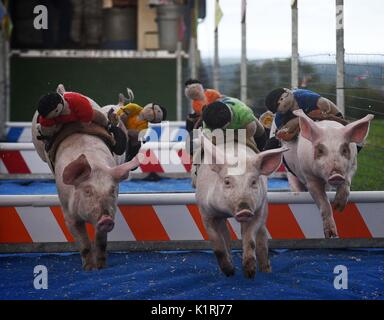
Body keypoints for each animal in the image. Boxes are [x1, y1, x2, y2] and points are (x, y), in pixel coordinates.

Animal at [32, 105, 138, 270]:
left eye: (112, 190)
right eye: (87, 191)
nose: (106, 219)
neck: (94, 166)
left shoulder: (112, 210)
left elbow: (101, 241)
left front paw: (100, 267)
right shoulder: (68, 214)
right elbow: (84, 244)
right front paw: (88, 269)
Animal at [195, 135, 288, 278]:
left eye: (253, 181)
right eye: (227, 182)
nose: (244, 210)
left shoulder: (257, 211)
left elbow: (250, 239)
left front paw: (250, 274)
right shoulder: (206, 213)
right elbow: (217, 244)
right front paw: (230, 272)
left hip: (264, 207)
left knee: (262, 237)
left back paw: (266, 271)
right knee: (226, 236)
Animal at [284, 110, 374, 238]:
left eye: (344, 150)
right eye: (320, 150)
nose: (336, 175)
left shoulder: (353, 166)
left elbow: (346, 183)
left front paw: (338, 207)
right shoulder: (309, 177)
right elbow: (324, 204)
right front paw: (331, 235)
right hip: (291, 175)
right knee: (296, 188)